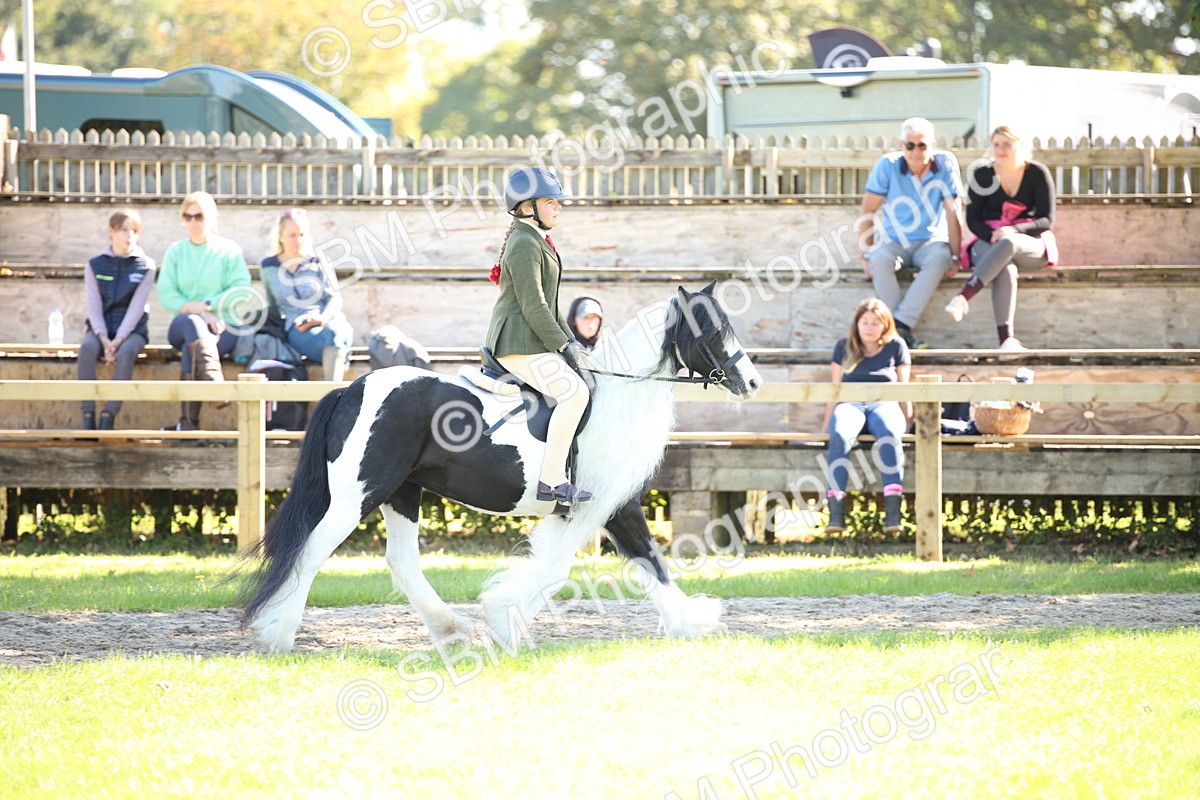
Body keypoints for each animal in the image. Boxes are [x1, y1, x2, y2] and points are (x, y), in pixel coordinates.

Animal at [240, 283, 762, 652]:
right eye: (712, 331)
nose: (752, 382)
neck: (620, 396)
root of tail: (353, 387)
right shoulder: (601, 506)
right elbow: (565, 568)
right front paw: (504, 620)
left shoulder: (614, 507)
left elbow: (649, 563)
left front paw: (690, 621)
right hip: (359, 494)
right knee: (311, 550)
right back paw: (277, 634)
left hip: (402, 493)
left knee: (401, 561)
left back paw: (451, 629)